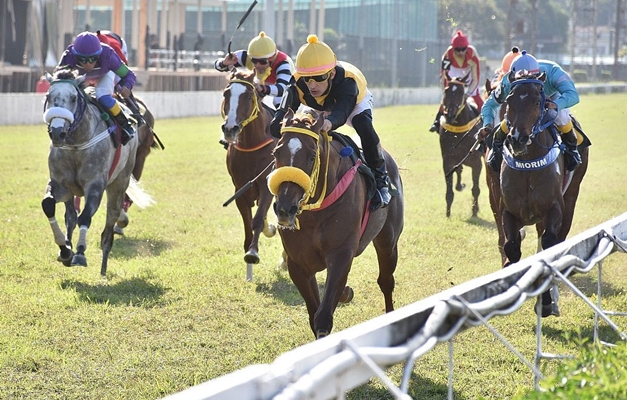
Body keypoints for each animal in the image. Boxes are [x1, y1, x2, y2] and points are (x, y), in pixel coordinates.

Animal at [42, 69, 153, 276]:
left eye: (73, 98)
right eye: (49, 97)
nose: (58, 132)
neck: (76, 144)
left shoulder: (95, 185)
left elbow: (85, 216)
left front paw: (79, 253)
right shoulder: (61, 185)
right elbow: (49, 205)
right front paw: (65, 249)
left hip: (121, 181)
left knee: (109, 226)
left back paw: (103, 267)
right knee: (71, 216)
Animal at [222, 69, 278, 282]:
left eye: (248, 96)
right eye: (226, 94)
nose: (230, 128)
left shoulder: (266, 185)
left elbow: (258, 219)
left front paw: (253, 253)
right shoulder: (240, 189)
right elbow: (248, 224)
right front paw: (249, 271)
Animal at [268, 108, 404, 338]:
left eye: (311, 156)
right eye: (276, 153)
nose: (285, 208)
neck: (315, 213)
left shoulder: (340, 254)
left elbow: (323, 317)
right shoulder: (298, 263)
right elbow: (314, 313)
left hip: (388, 241)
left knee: (386, 281)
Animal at [440, 72, 484, 216]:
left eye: (460, 92)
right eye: (446, 90)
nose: (450, 115)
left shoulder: (477, 163)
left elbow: (476, 189)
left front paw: (474, 211)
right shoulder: (447, 161)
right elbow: (449, 190)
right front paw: (448, 213)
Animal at [496, 72, 588, 316]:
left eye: (537, 102)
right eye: (509, 100)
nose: (517, 139)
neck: (528, 163)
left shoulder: (554, 208)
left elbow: (548, 245)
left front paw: (545, 301)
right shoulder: (509, 211)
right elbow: (511, 246)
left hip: (571, 198)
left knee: (557, 240)